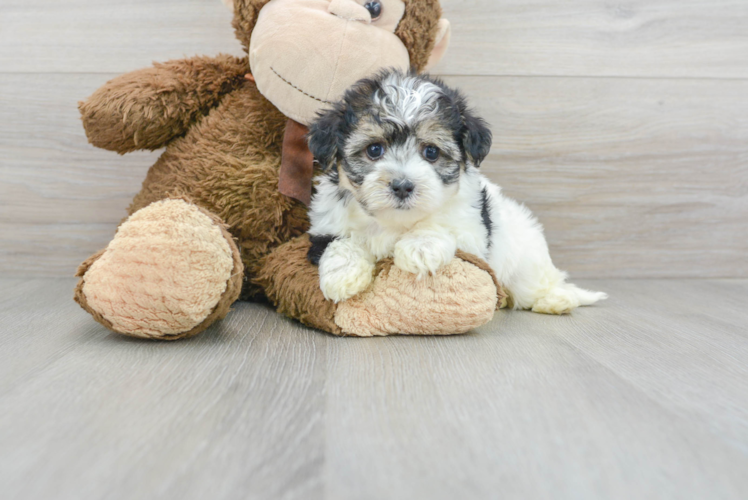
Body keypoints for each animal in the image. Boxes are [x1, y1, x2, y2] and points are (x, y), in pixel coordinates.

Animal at [306, 71, 604, 312]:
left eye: (431, 152)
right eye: (374, 149)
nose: (402, 185)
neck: (394, 222)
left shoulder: (472, 234)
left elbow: (441, 227)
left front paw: (420, 247)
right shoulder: (325, 225)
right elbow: (340, 242)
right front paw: (342, 274)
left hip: (526, 260)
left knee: (538, 284)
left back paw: (557, 300)